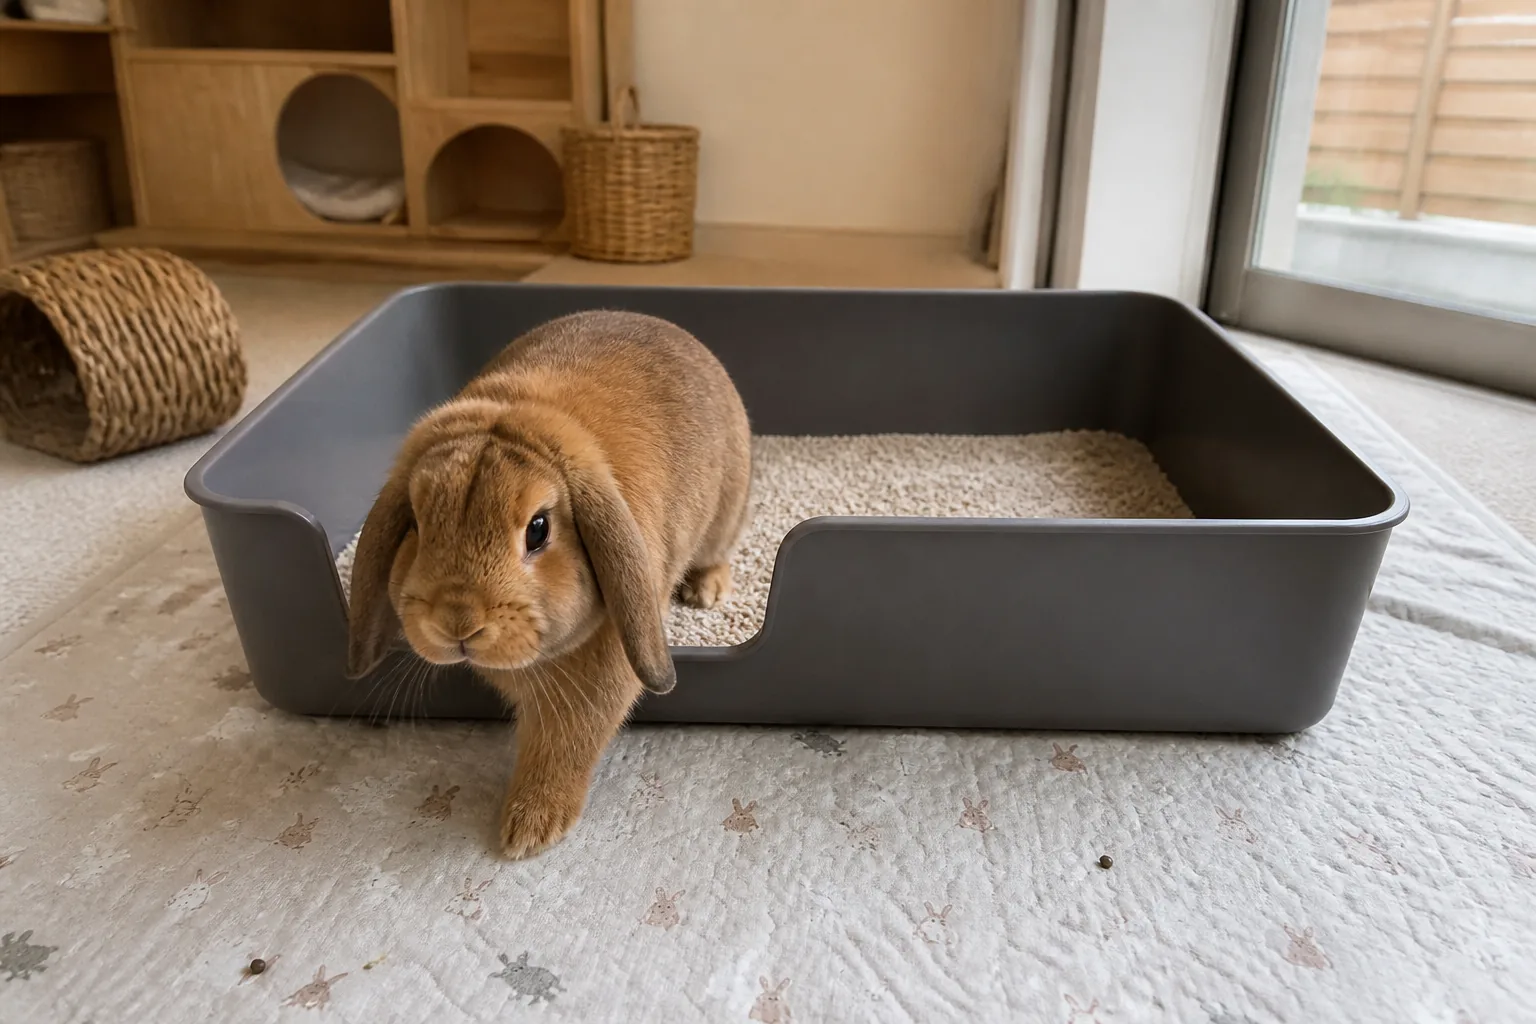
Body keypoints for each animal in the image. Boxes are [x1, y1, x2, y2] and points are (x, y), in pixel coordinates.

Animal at [347, 311, 752, 859]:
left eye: (538, 529)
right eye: (417, 522)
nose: (458, 621)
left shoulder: (596, 683)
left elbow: (564, 747)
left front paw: (528, 831)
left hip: (725, 514)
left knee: (717, 552)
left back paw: (706, 590)